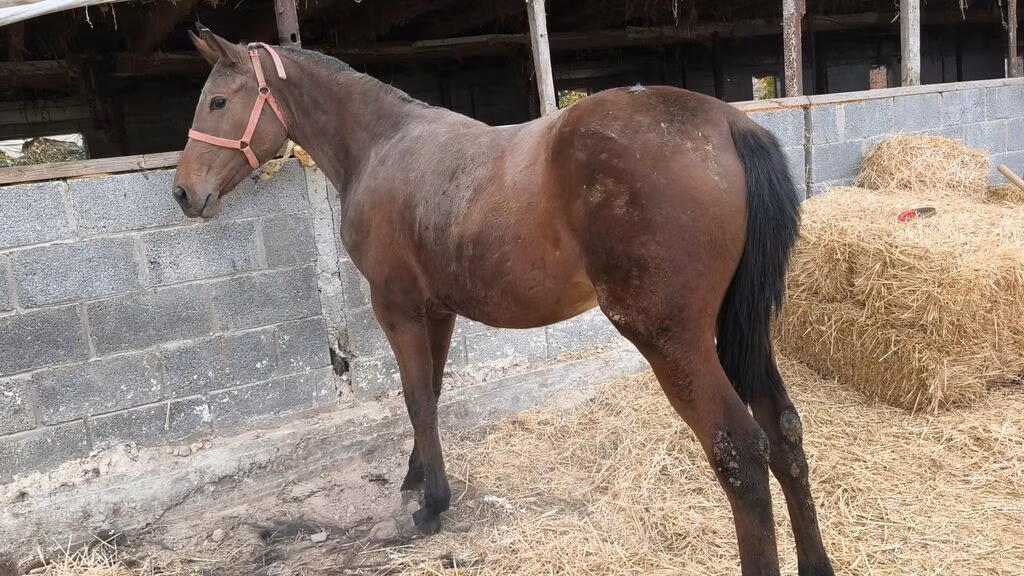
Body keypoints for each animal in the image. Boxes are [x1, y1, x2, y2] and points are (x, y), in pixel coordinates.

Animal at [171, 23, 834, 576]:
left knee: (740, 453)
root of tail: (728, 123)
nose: (182, 192)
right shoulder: (437, 310)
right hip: (742, 331)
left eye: (218, 102)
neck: (383, 146)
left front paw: (432, 506)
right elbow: (432, 393)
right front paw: (417, 479)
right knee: (784, 432)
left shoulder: (397, 307)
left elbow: (416, 397)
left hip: (673, 340)